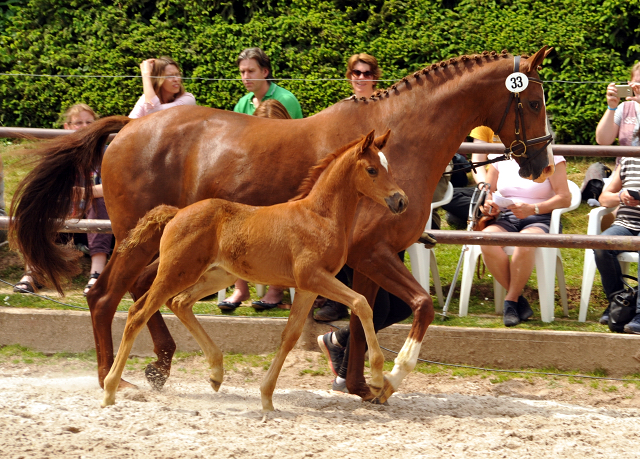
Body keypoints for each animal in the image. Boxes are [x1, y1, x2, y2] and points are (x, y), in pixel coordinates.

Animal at [102, 131, 408, 412]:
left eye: (388, 167)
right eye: (372, 170)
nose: (400, 201)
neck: (319, 216)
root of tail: (177, 213)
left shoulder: (308, 287)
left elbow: (290, 337)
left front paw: (267, 398)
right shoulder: (314, 277)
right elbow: (362, 303)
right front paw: (378, 380)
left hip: (216, 275)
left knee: (179, 303)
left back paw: (216, 373)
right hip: (177, 272)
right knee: (138, 313)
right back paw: (110, 389)